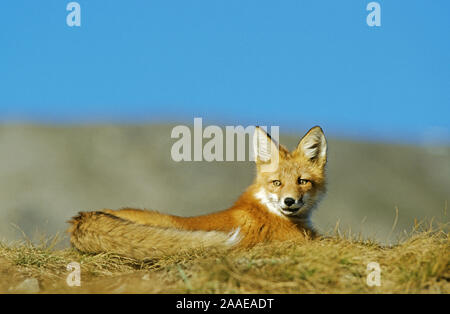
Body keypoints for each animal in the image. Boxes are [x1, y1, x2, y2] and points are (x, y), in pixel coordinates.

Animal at [67, 125, 326, 260]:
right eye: (277, 183)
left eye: (302, 181)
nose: (289, 201)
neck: (266, 209)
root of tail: (82, 217)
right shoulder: (301, 241)